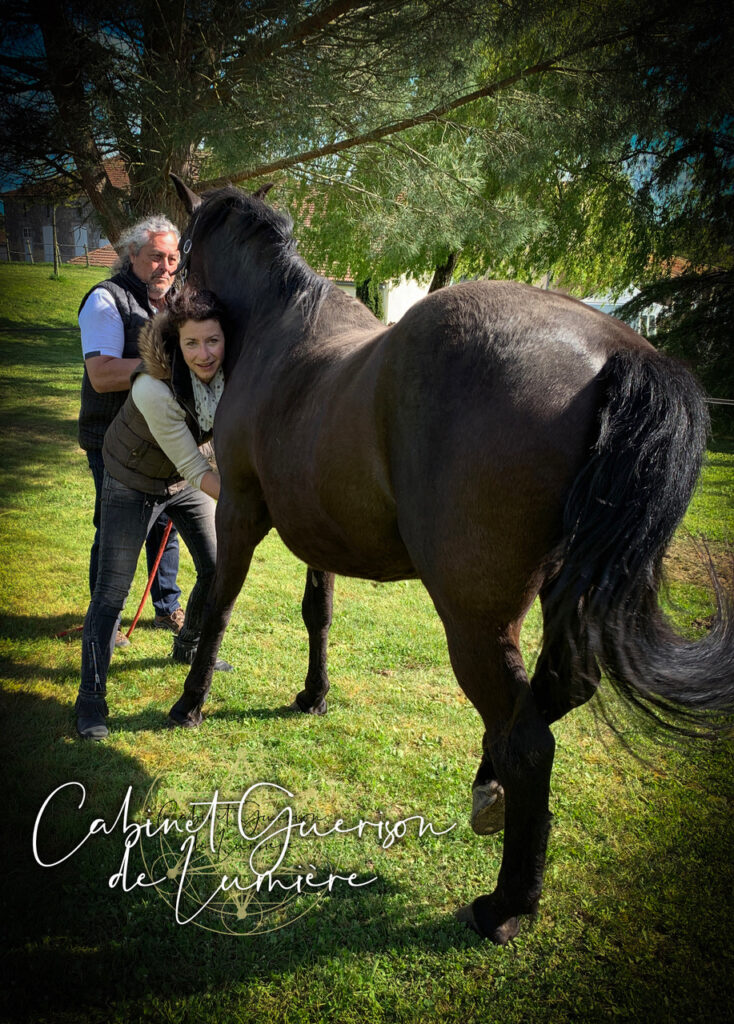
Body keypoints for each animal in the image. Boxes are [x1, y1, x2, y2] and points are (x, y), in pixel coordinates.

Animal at [167, 174, 732, 942]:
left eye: (183, 249)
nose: (169, 302)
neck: (281, 330)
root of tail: (619, 354)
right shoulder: (319, 533)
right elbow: (318, 613)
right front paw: (313, 695)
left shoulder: (242, 512)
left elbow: (222, 605)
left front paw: (190, 701)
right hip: (567, 595)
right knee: (558, 691)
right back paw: (488, 787)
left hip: (473, 616)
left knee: (530, 739)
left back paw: (507, 902)